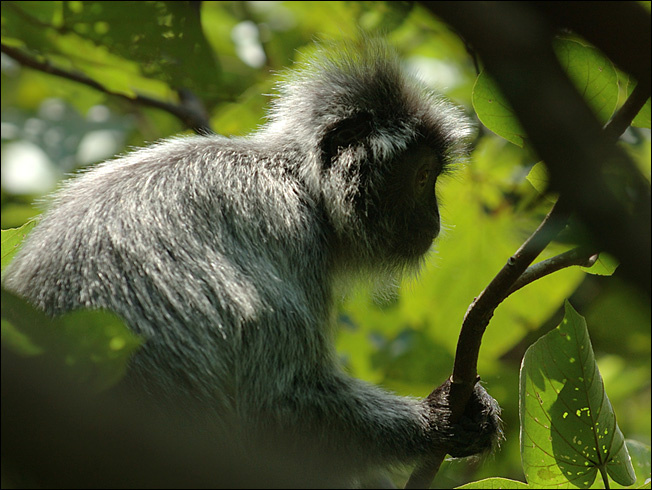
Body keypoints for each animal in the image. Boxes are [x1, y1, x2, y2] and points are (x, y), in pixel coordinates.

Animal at [3, 40, 501, 484]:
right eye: (422, 177)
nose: (435, 219)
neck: (297, 179)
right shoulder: (290, 229)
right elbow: (274, 405)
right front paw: (440, 417)